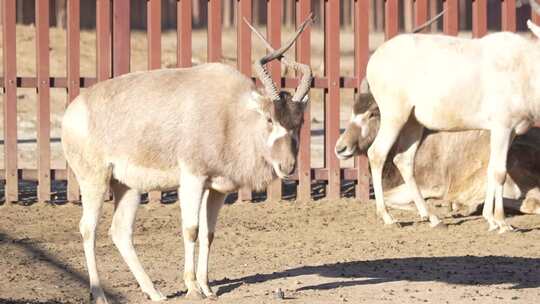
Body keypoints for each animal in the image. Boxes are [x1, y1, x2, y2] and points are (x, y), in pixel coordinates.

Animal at [60, 13, 312, 302]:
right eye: (270, 119)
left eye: (299, 121)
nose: (287, 166)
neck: (231, 113)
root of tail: (72, 112)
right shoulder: (192, 179)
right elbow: (191, 229)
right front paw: (192, 287)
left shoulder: (216, 189)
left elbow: (208, 234)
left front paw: (207, 287)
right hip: (94, 180)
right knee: (88, 228)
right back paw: (99, 293)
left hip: (127, 186)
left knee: (121, 230)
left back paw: (154, 292)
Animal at [356, 1, 540, 233]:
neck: (525, 65)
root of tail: (375, 58)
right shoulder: (502, 127)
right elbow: (499, 171)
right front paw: (501, 222)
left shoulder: (511, 131)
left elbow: (494, 169)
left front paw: (491, 220)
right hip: (394, 116)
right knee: (377, 153)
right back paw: (388, 217)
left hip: (413, 122)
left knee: (404, 159)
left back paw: (433, 218)